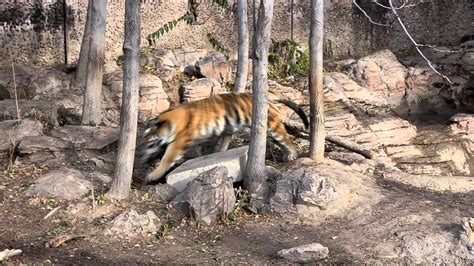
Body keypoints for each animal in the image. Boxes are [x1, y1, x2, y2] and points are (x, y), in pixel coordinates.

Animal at [140, 90, 312, 184]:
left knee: (286, 139)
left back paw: (291, 155)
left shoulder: (180, 141)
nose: (140, 155)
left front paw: (152, 175)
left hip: (272, 126)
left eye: (147, 141)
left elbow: (167, 158)